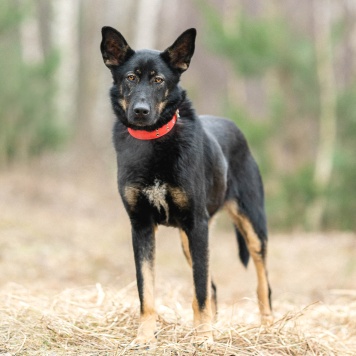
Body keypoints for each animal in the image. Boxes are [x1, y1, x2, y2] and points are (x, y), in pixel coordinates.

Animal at [100, 26, 272, 344]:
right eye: (130, 78)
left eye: (158, 80)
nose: (140, 111)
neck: (154, 142)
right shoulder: (141, 226)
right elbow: (147, 292)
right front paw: (145, 337)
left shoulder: (196, 224)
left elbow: (200, 291)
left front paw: (203, 338)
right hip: (187, 240)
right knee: (213, 286)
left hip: (251, 228)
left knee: (262, 284)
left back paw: (268, 330)